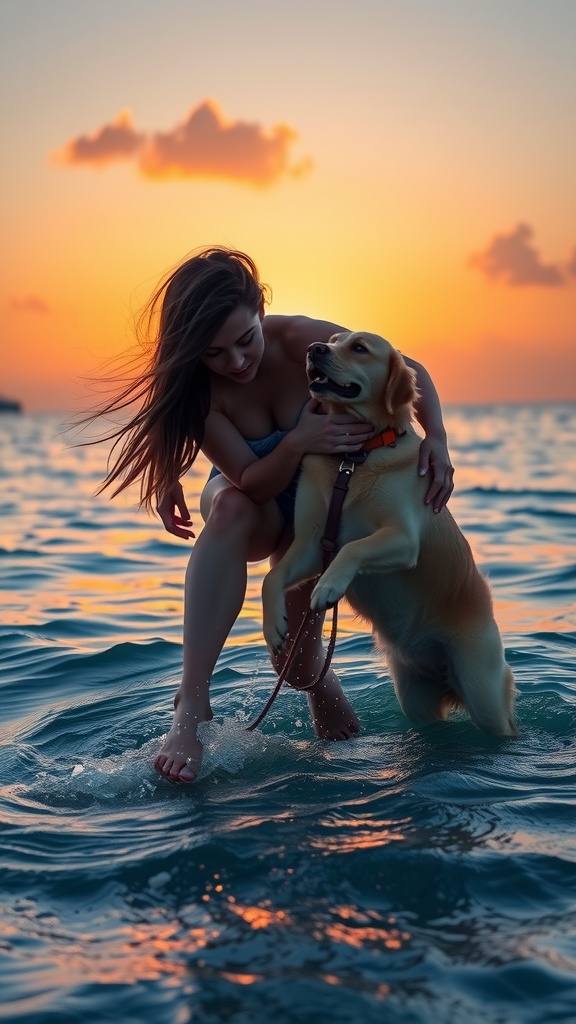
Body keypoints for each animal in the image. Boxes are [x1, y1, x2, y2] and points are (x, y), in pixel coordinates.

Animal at [262, 333, 512, 737]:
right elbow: (272, 576)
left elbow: (353, 548)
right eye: (333, 340)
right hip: (414, 696)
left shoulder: (403, 538)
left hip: (482, 690)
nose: (314, 348)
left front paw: (328, 587)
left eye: (359, 347)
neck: (353, 458)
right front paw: (273, 625)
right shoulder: (312, 544)